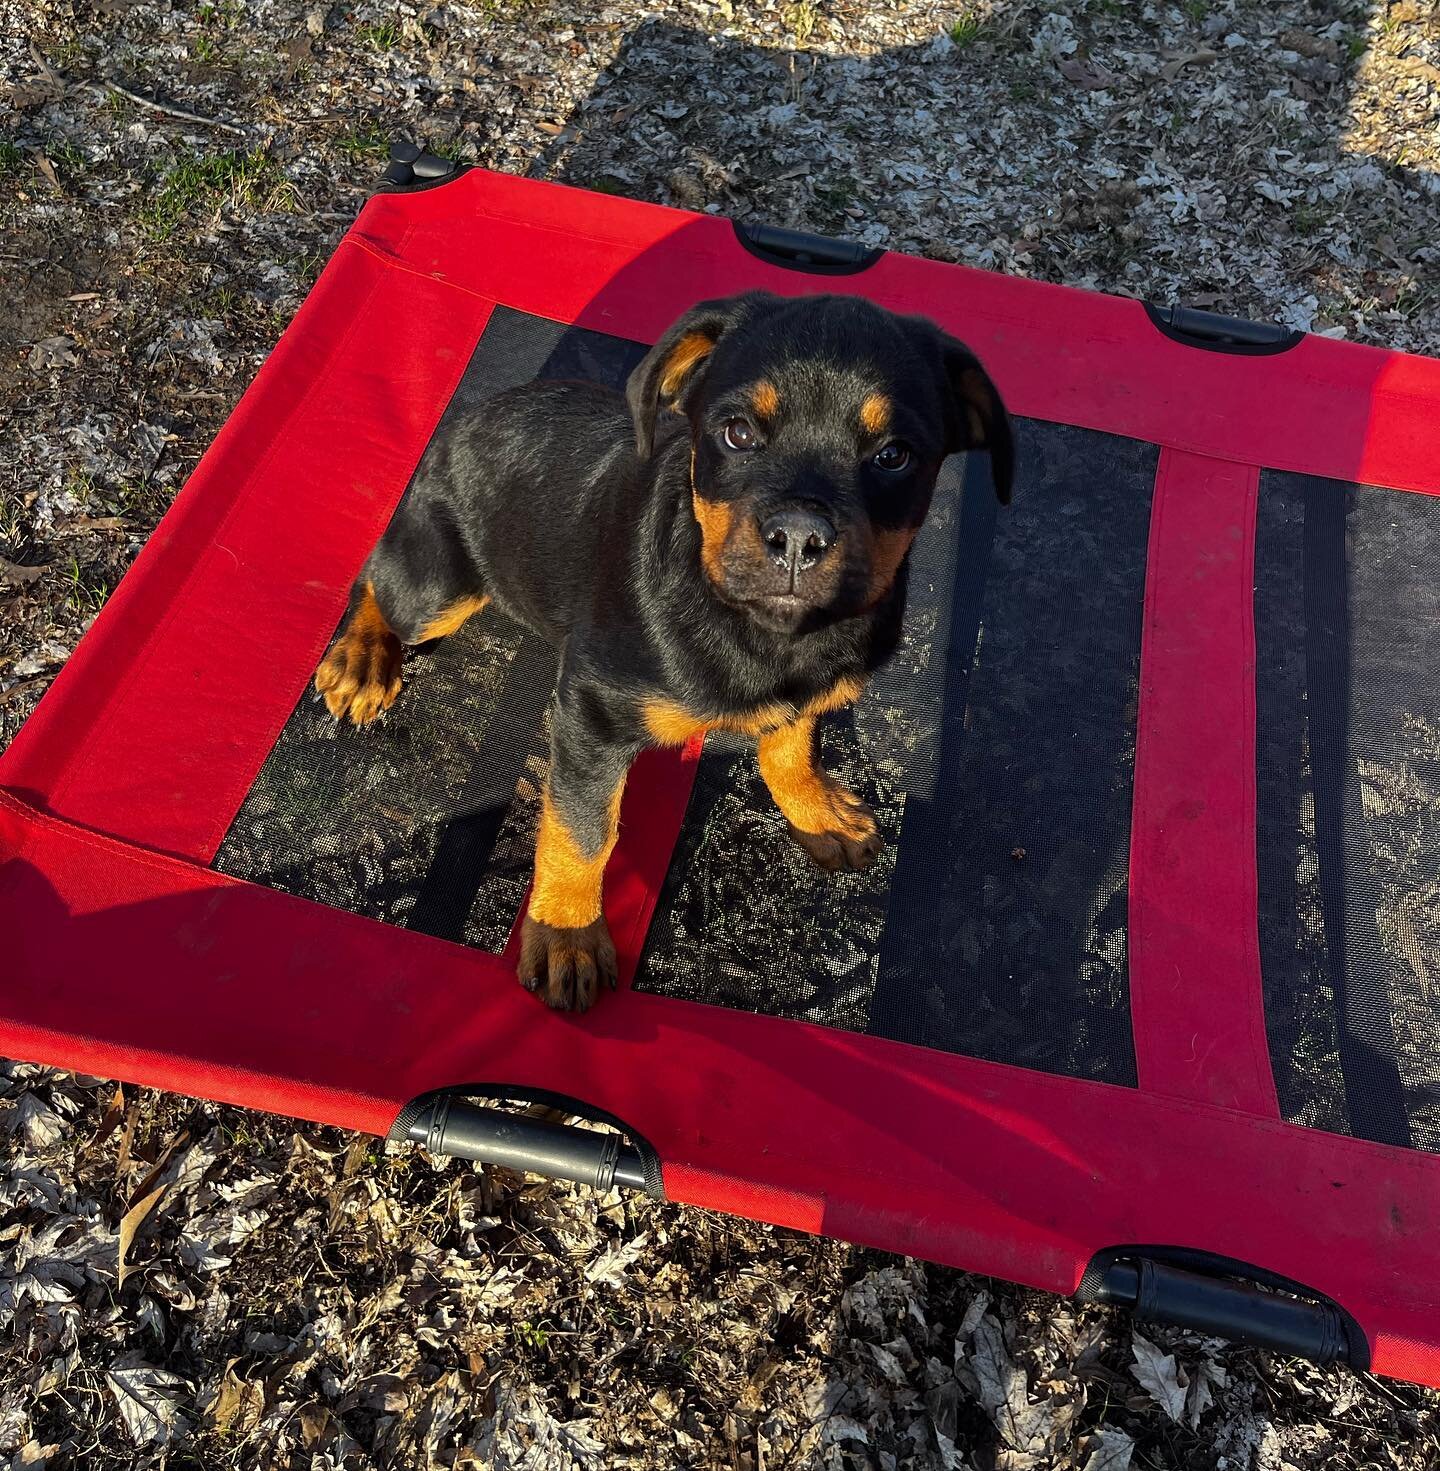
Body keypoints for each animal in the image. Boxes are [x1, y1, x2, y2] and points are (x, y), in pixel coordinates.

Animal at [314, 294, 1011, 1017]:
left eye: (895, 455)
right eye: (737, 433)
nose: (798, 537)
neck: (764, 631)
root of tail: (463, 421)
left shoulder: (809, 692)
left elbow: (791, 745)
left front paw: (817, 808)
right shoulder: (591, 714)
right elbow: (582, 831)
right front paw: (567, 933)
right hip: (440, 590)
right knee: (376, 576)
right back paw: (361, 658)